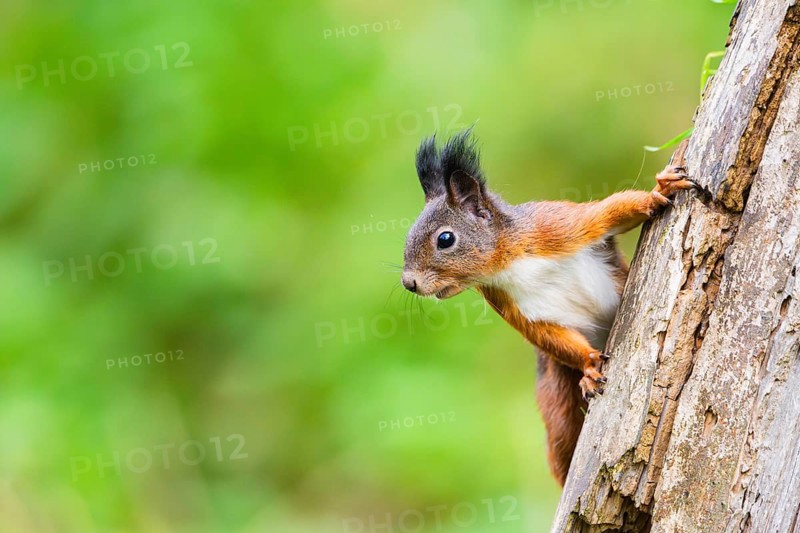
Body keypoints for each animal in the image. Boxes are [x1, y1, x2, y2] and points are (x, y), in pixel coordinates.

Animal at [401, 130, 695, 485]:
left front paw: (658, 193)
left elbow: (609, 213)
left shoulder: (556, 226)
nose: (409, 283)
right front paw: (589, 366)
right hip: (557, 404)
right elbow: (549, 336)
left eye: (445, 239)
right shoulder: (513, 306)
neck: (509, 262)